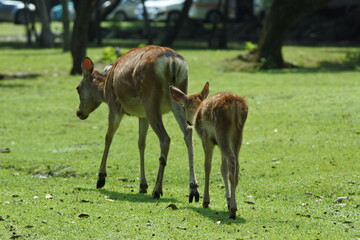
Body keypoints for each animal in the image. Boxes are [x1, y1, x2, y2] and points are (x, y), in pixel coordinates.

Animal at [76, 44, 200, 201]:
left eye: (77, 88)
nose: (79, 112)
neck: (104, 87)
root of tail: (172, 62)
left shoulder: (114, 105)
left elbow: (108, 137)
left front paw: (101, 178)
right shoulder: (142, 115)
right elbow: (141, 143)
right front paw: (142, 185)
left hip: (150, 100)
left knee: (165, 138)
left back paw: (157, 190)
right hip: (180, 97)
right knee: (188, 131)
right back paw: (193, 189)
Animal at [169, 82, 248, 219]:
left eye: (183, 106)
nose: (188, 121)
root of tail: (235, 107)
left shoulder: (206, 138)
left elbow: (207, 166)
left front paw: (205, 201)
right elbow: (223, 169)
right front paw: (227, 199)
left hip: (221, 131)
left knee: (232, 161)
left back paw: (233, 210)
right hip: (237, 134)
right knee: (236, 164)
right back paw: (233, 205)